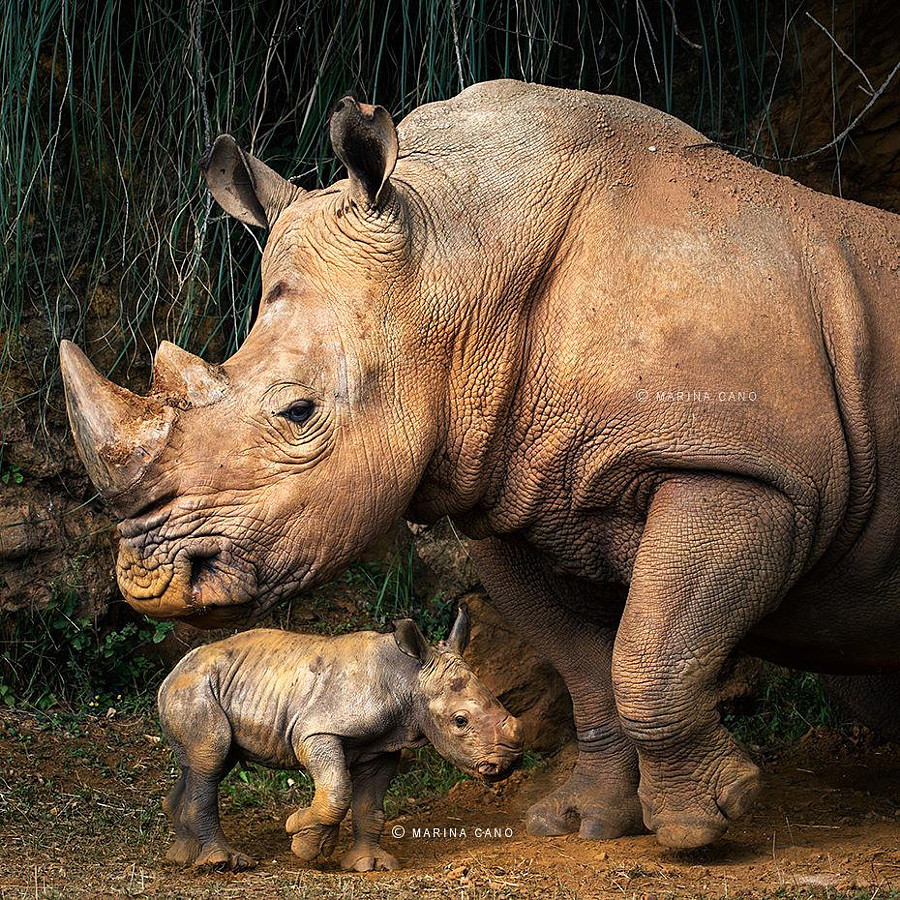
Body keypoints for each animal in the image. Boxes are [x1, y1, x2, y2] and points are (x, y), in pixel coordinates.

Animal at [155, 604, 520, 872]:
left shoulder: (383, 747)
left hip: (211, 683)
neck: (409, 678)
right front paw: (301, 837)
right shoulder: (317, 730)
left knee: (204, 762)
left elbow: (370, 805)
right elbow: (336, 790)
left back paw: (182, 856)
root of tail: (172, 672)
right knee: (211, 755)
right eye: (460, 721)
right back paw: (223, 862)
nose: (508, 763)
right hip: (196, 685)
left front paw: (369, 864)